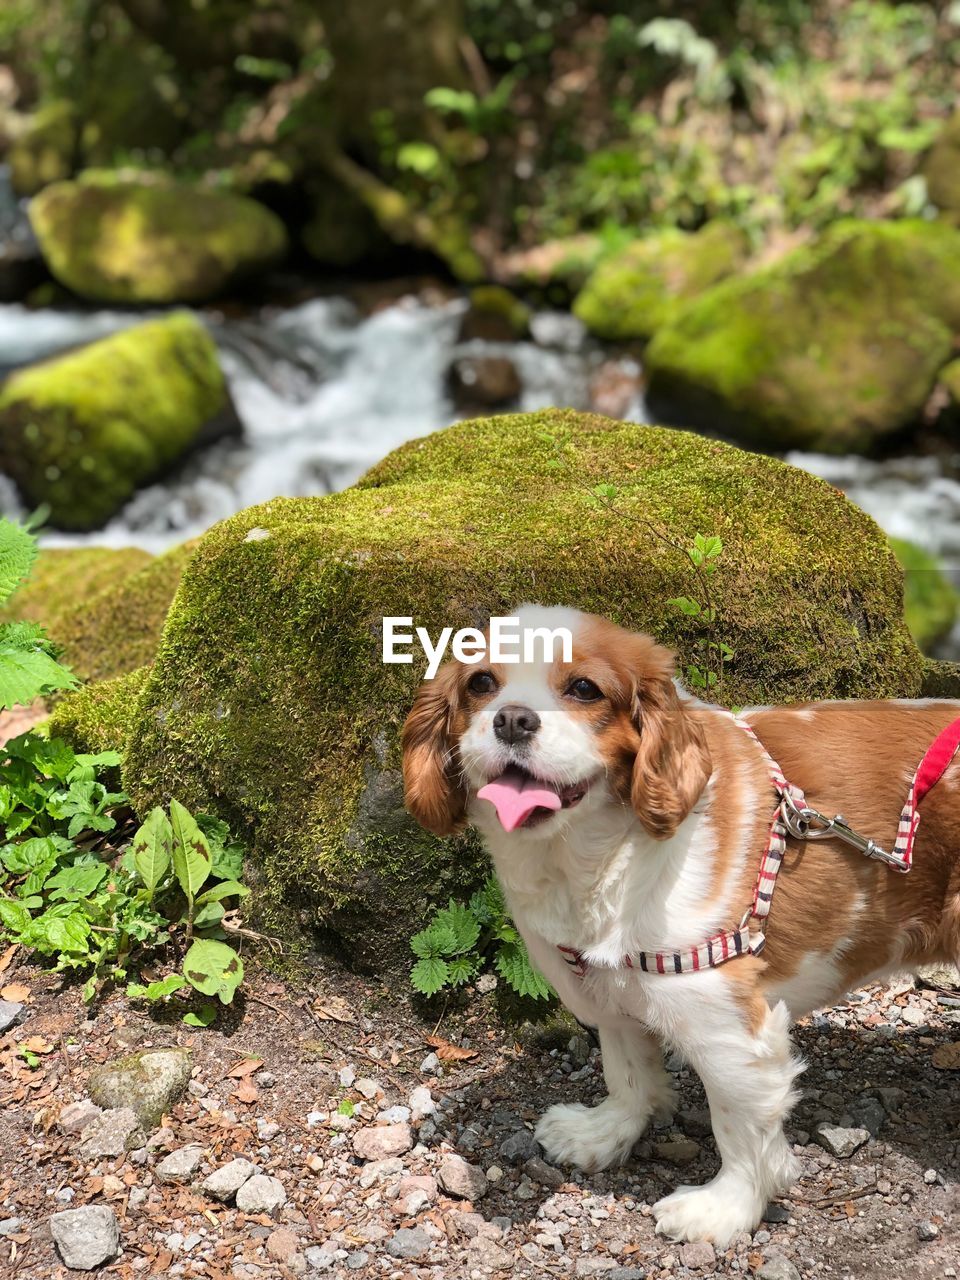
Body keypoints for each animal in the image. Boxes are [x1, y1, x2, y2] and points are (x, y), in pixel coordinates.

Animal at [399, 604, 960, 1244]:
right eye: (481, 684)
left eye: (584, 689)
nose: (513, 719)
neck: (592, 857)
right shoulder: (608, 989)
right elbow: (628, 1073)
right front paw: (606, 1133)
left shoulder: (729, 1030)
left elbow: (738, 1127)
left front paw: (726, 1208)